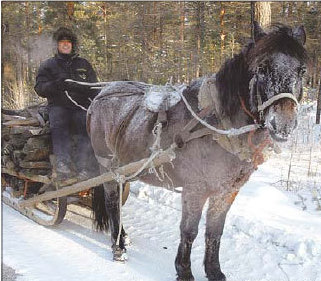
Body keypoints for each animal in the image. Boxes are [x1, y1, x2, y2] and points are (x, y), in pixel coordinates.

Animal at [86, 23, 306, 280]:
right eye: (262, 68)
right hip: (108, 167)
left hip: (127, 168)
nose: (284, 123)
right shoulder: (195, 189)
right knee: (112, 203)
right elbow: (189, 231)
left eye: (302, 70)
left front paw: (214, 270)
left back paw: (123, 237)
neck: (218, 126)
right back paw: (118, 248)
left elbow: (215, 232)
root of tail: (101, 95)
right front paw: (184, 270)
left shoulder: (226, 191)